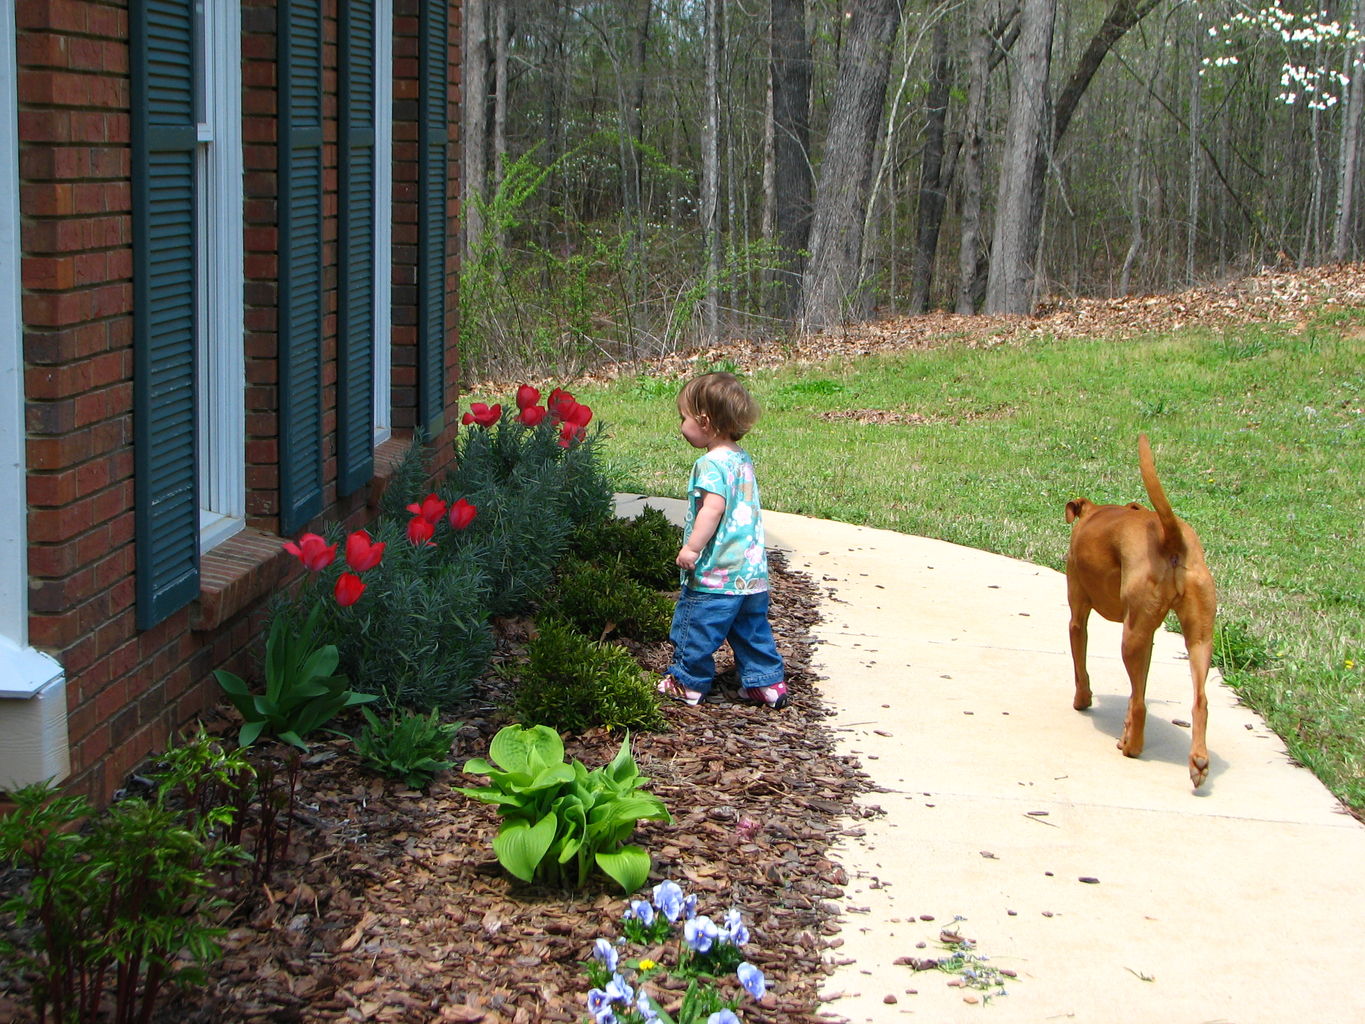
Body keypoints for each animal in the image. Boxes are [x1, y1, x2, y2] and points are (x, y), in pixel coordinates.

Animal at [1064, 436, 1217, 791]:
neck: (1097, 513)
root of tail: (1169, 536)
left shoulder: (1077, 617)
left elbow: (1081, 665)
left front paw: (1083, 700)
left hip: (1131, 637)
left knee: (1140, 704)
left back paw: (1131, 746)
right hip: (1197, 639)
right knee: (1198, 701)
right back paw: (1197, 762)